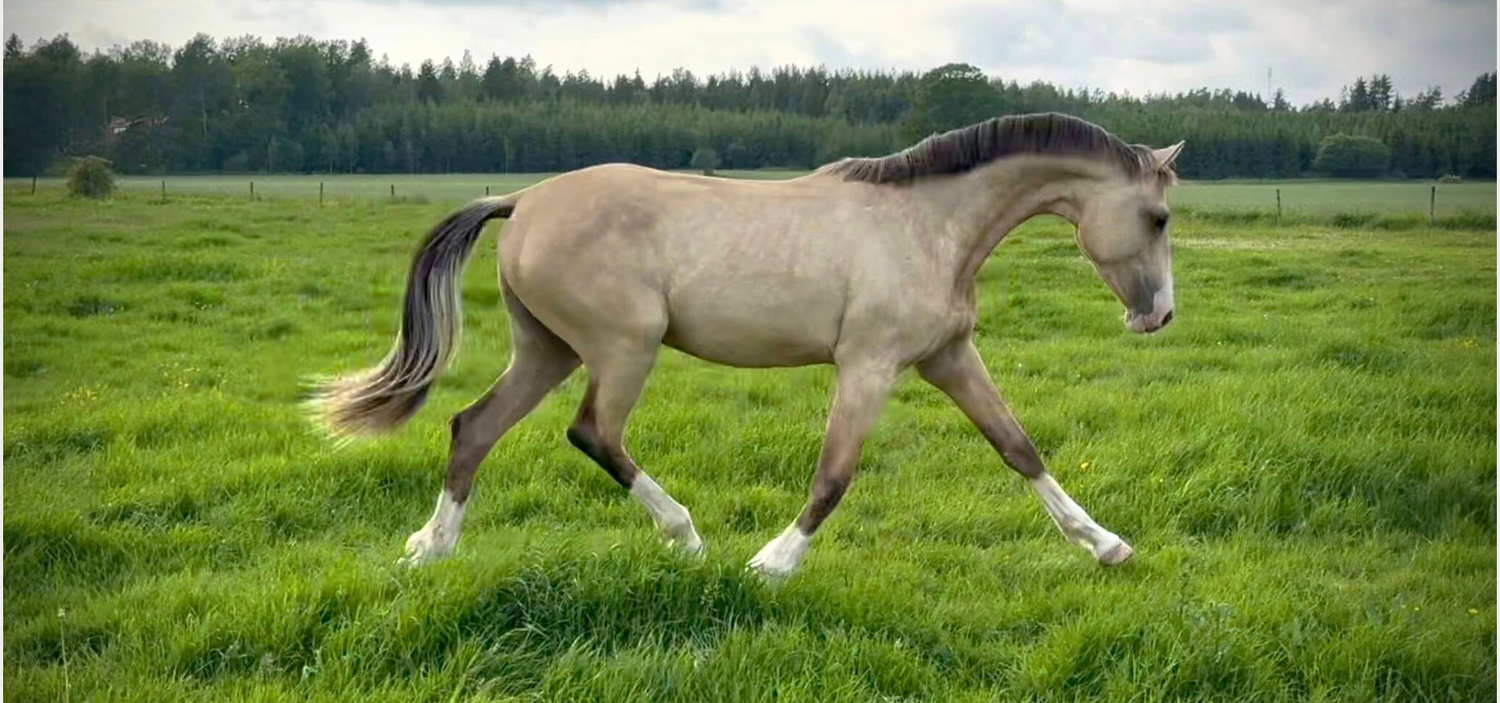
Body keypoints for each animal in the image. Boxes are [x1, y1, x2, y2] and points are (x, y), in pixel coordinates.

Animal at [309, 112, 1183, 578]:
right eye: (1160, 217)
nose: (1159, 317)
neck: (926, 225)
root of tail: (522, 201)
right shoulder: (868, 366)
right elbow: (835, 474)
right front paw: (772, 563)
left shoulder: (948, 357)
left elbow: (1019, 447)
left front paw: (1106, 545)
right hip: (623, 348)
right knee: (594, 432)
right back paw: (686, 535)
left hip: (547, 349)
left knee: (474, 427)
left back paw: (431, 546)